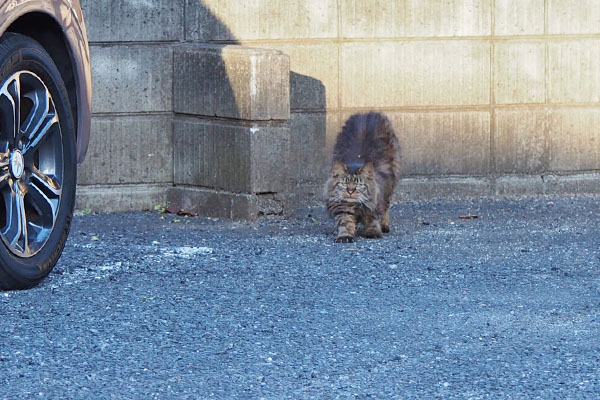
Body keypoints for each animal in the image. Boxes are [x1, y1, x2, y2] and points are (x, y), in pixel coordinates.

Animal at [326, 112, 400, 244]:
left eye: (359, 185)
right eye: (344, 184)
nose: (350, 191)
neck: (356, 206)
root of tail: (367, 113)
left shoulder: (374, 205)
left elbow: (372, 219)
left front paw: (373, 232)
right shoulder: (342, 209)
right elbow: (345, 223)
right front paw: (345, 236)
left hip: (392, 179)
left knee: (386, 207)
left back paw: (385, 225)